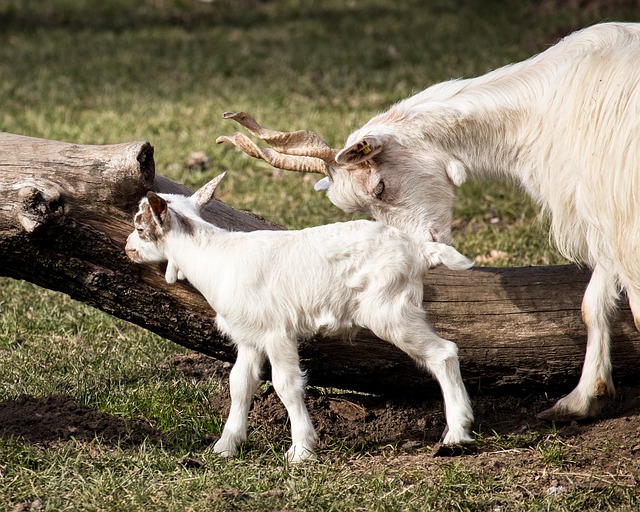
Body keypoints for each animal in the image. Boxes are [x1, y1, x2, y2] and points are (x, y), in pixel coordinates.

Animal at [125, 174, 476, 462]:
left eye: (141, 227)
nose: (128, 248)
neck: (216, 257)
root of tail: (419, 252)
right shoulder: (249, 337)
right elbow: (239, 384)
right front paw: (225, 446)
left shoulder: (276, 332)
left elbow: (287, 385)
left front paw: (302, 450)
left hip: (390, 309)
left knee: (444, 353)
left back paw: (457, 434)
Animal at [216, 22, 640, 422]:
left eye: (380, 186)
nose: (418, 251)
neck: (542, 107)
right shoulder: (601, 212)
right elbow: (592, 304)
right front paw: (581, 400)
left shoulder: (620, 212)